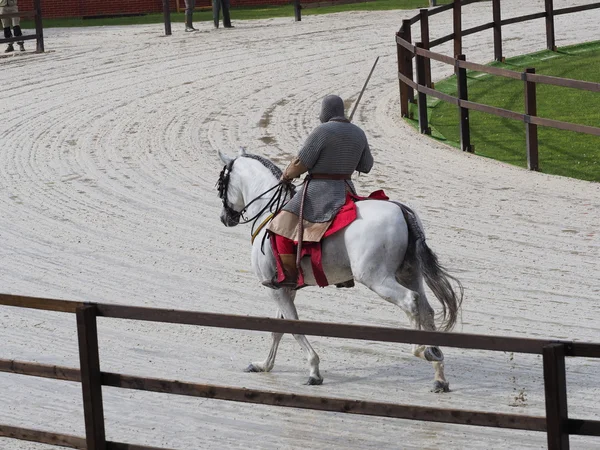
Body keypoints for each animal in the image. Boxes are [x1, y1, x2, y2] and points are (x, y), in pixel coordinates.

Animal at [218, 149, 462, 392]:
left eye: (221, 183)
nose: (225, 218)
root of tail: (402, 211)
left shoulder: (274, 288)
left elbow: (293, 326)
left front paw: (314, 371)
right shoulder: (285, 287)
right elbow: (278, 328)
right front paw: (264, 365)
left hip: (377, 278)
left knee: (410, 301)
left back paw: (420, 350)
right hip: (409, 274)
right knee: (426, 310)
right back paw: (438, 372)